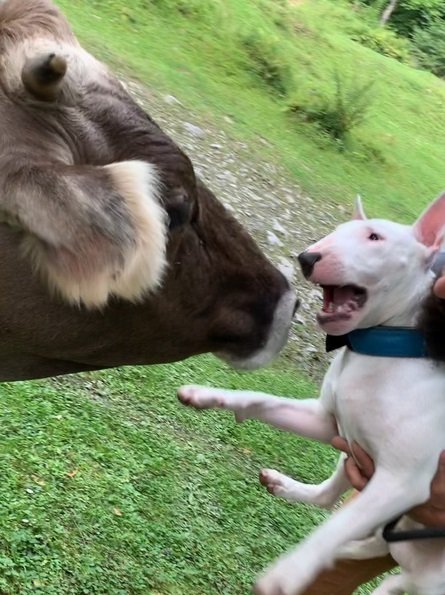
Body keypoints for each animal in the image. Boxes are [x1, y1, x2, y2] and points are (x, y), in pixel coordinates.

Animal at [177, 193, 445, 592]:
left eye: (375, 237)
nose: (307, 257)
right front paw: (208, 394)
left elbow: (336, 527)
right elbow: (261, 399)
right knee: (328, 500)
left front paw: (286, 573)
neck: (382, 347)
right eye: (337, 230)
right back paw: (286, 488)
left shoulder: (402, 480)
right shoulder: (327, 422)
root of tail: (414, 567)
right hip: (354, 461)